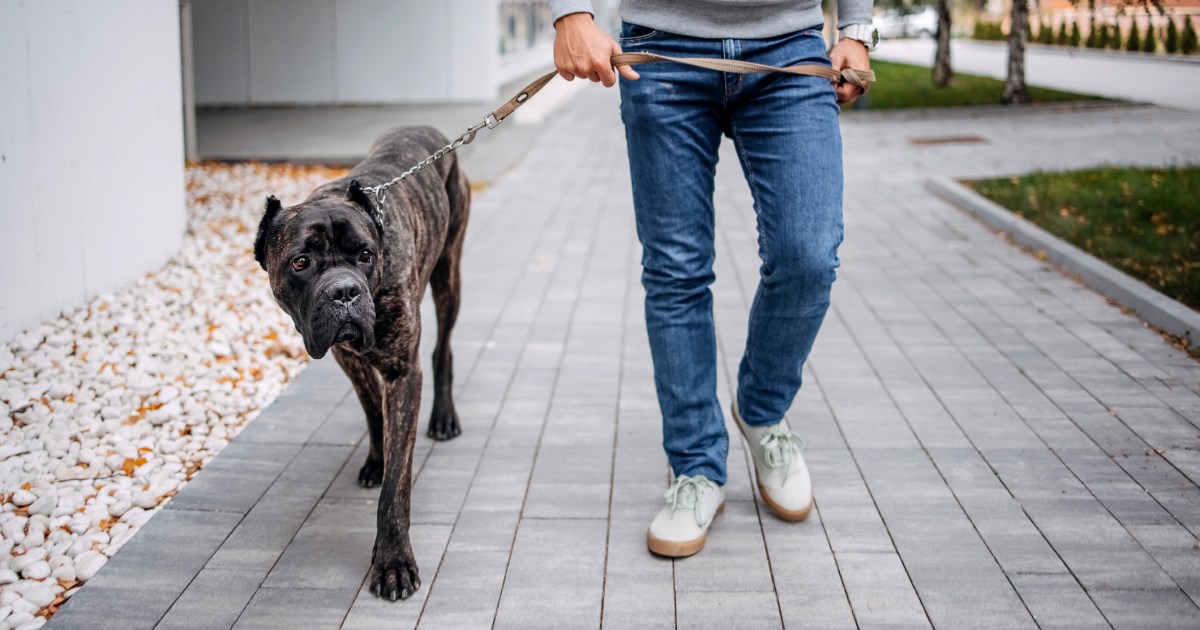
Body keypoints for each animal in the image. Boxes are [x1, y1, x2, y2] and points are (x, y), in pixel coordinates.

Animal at [253, 126, 468, 600]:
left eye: (365, 255)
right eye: (301, 262)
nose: (344, 291)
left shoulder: (402, 372)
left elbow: (396, 487)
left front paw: (393, 561)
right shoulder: (346, 356)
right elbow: (373, 412)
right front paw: (376, 459)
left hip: (449, 271)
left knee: (444, 348)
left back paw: (444, 417)